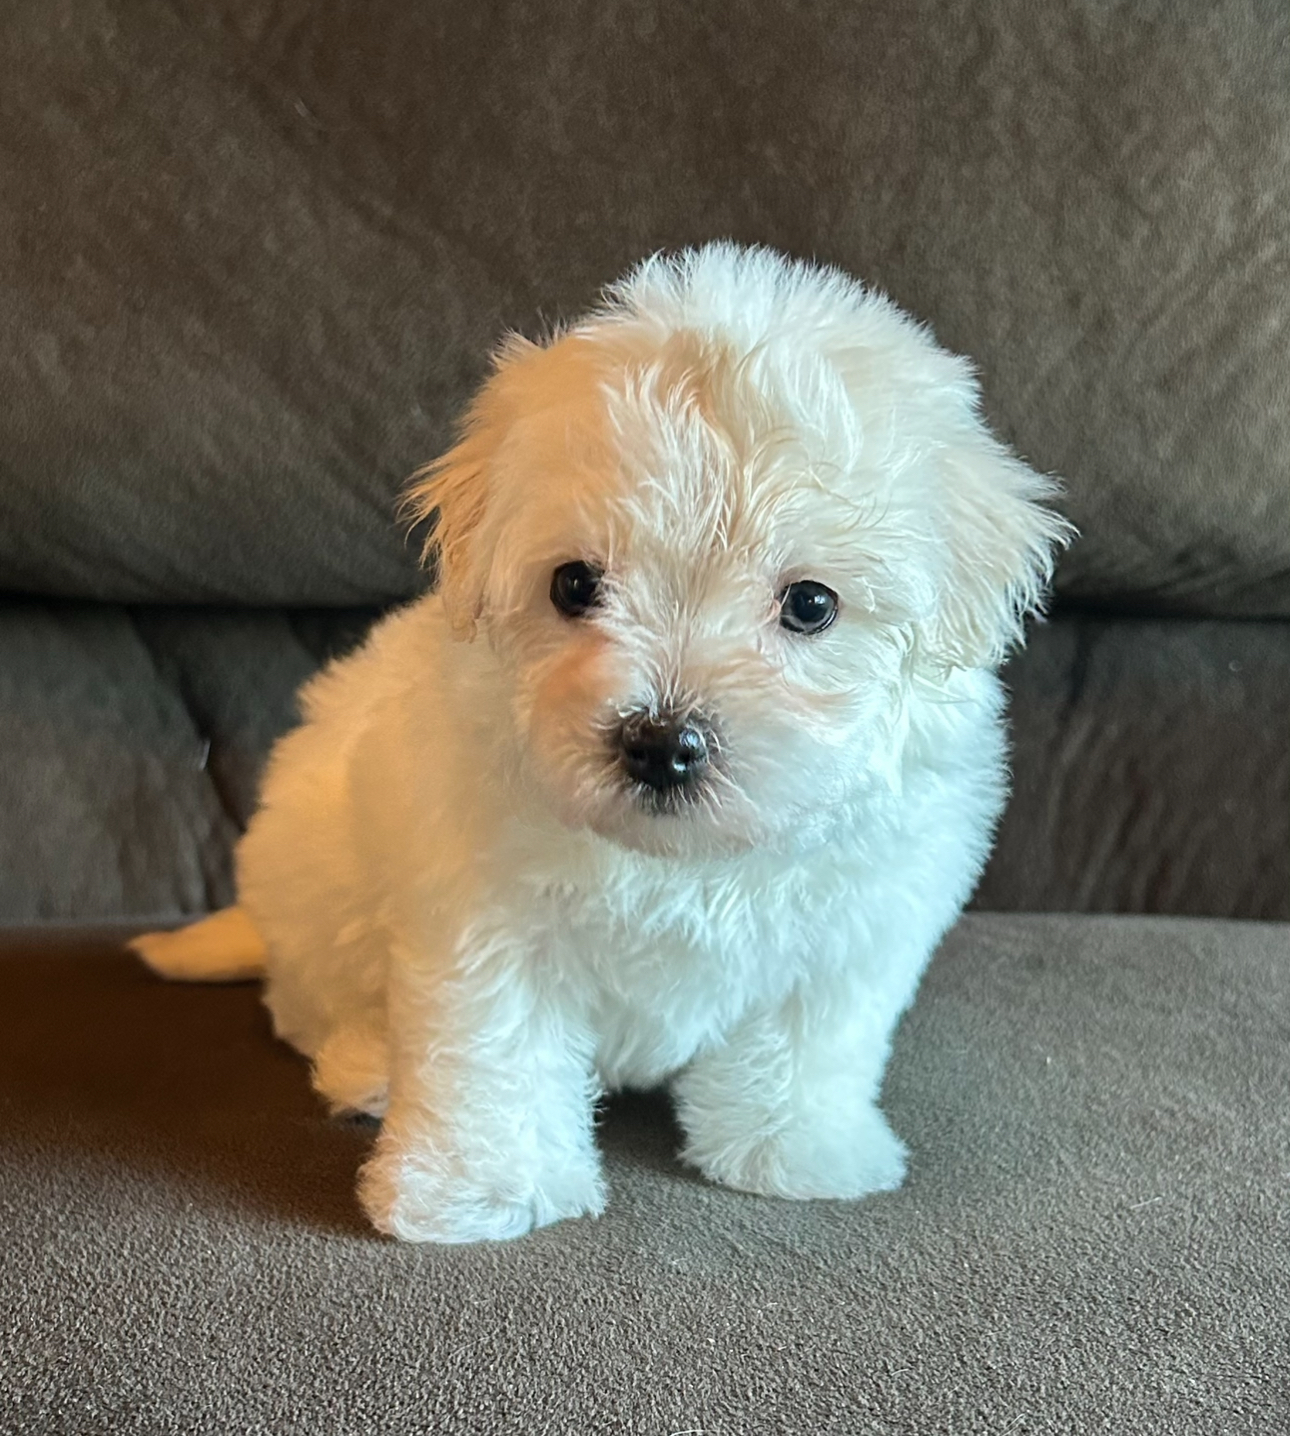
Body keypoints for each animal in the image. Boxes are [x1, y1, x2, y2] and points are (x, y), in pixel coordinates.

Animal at [135, 241, 1068, 1240]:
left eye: (812, 604)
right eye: (575, 585)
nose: (662, 744)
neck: (681, 859)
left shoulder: (853, 920)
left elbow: (807, 1038)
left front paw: (793, 1148)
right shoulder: (484, 913)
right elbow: (495, 1045)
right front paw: (481, 1190)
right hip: (317, 886)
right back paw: (369, 1068)